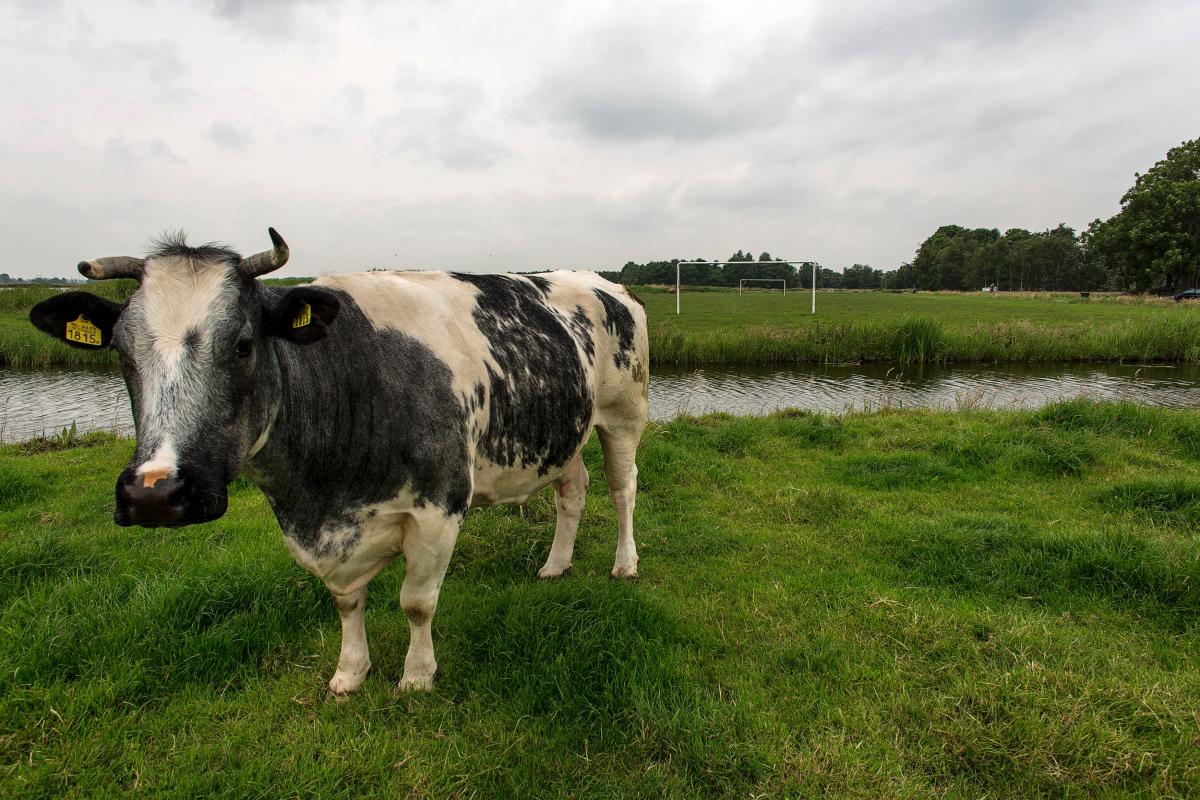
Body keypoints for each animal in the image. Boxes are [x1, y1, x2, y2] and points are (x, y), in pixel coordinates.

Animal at [30, 230, 648, 695]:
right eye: (121, 352)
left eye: (243, 343)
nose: (155, 494)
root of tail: (599, 279)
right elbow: (346, 602)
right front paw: (350, 673)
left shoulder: (439, 506)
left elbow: (416, 603)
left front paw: (416, 677)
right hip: (565, 432)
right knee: (573, 489)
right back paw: (555, 564)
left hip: (624, 414)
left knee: (623, 489)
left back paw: (624, 563)